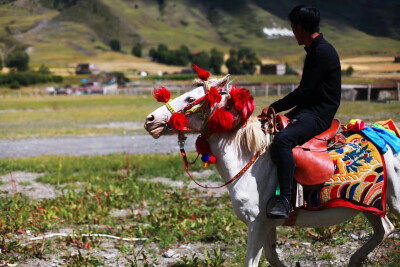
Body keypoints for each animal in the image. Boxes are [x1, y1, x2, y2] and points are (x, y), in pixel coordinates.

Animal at [145, 76, 400, 267]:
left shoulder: (256, 224)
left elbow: (253, 262)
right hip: (370, 205)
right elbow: (272, 257)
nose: (150, 119)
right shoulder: (267, 225)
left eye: (190, 98)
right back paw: (355, 260)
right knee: (385, 229)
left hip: (394, 200)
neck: (251, 161)